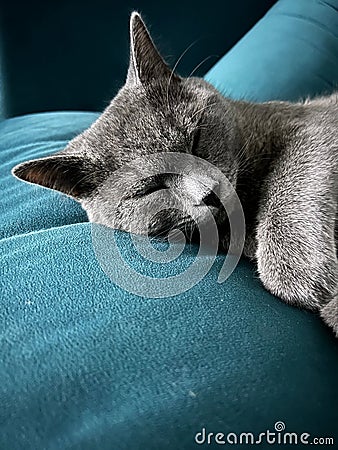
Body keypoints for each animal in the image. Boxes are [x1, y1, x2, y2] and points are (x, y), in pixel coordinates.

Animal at [12, 11, 338, 338]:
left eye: (195, 141)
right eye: (151, 188)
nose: (208, 193)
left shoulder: (312, 124)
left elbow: (291, 184)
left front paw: (301, 275)